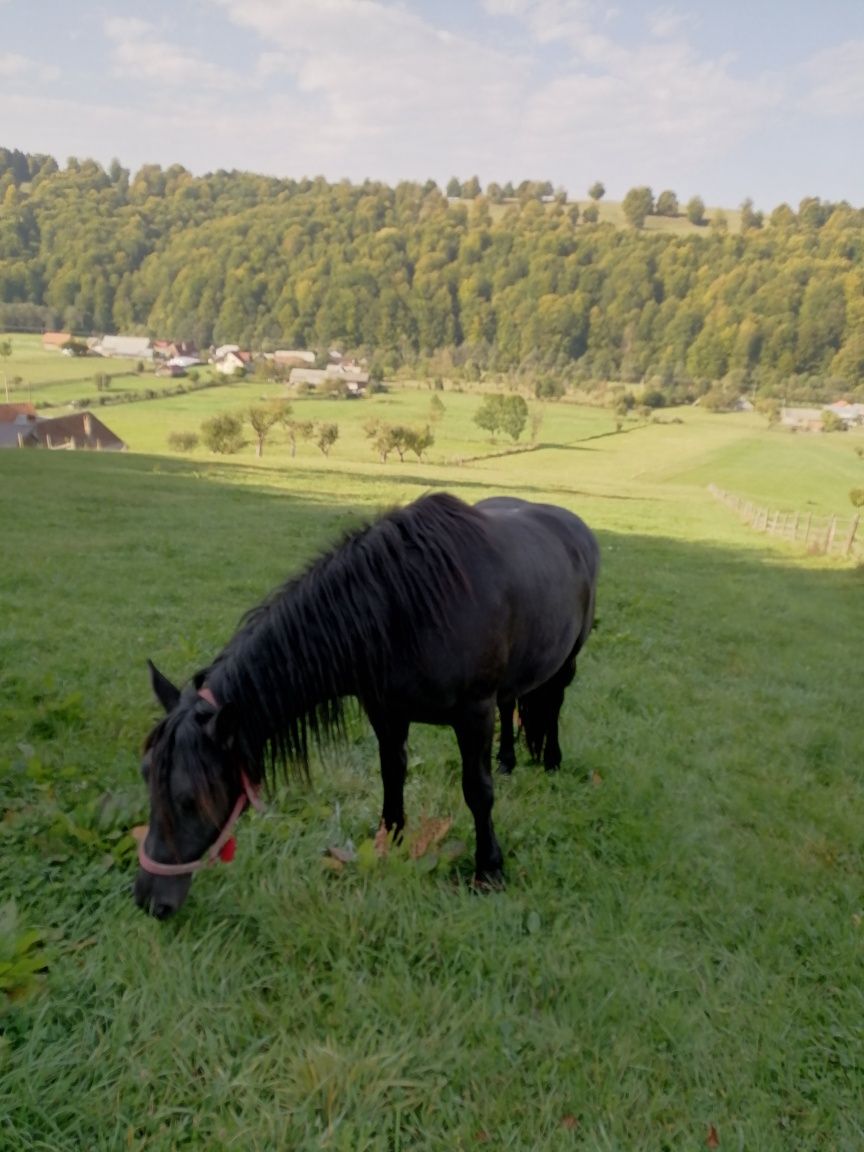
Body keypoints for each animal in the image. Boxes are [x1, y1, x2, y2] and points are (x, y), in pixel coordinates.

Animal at [135, 490, 599, 912]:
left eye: (190, 799)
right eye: (146, 777)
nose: (149, 901)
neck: (407, 605)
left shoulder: (474, 713)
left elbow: (477, 792)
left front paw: (489, 869)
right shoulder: (386, 712)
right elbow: (392, 775)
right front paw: (388, 845)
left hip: (567, 663)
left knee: (553, 704)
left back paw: (552, 761)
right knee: (512, 703)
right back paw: (507, 761)